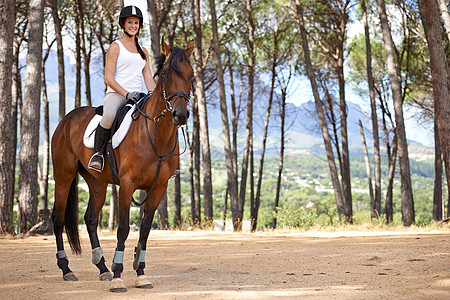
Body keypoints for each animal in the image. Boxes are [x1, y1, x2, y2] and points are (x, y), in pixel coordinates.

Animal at [51, 38, 193, 292]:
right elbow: (124, 228)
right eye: (167, 73)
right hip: (63, 176)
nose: (181, 114)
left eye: (191, 74)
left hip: (96, 182)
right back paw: (67, 269)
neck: (155, 135)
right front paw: (119, 275)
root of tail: (67, 120)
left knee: (90, 220)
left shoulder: (159, 188)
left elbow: (145, 228)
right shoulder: (127, 185)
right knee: (58, 219)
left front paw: (140, 272)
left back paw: (102, 269)